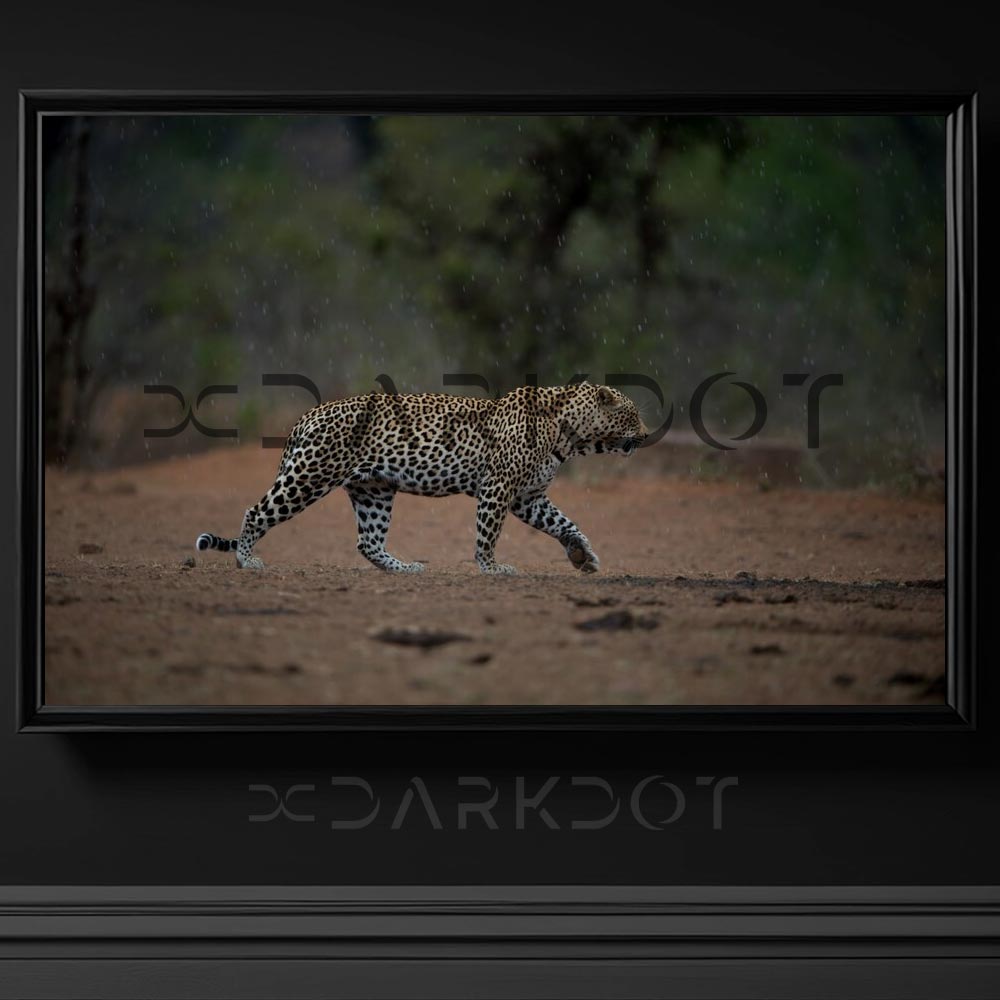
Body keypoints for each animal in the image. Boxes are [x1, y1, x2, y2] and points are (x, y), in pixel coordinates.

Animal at [195, 378, 648, 576]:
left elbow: (566, 523)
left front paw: (582, 556)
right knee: (256, 511)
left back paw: (404, 568)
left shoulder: (528, 497)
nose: (646, 434)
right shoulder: (498, 488)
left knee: (367, 542)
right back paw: (247, 559)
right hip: (309, 475)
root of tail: (309, 415)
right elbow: (488, 533)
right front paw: (491, 567)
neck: (569, 434)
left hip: (374, 490)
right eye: (633, 414)